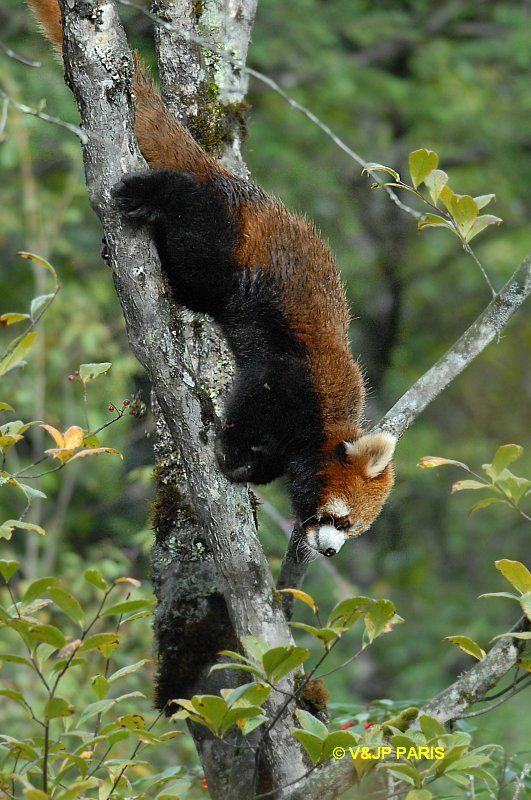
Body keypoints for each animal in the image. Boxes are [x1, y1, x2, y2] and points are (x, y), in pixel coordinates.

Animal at [28, 0, 394, 556]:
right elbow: (252, 400)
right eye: (345, 519)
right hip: (224, 240)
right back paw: (154, 193)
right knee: (192, 227)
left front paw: (254, 470)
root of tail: (229, 181)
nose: (330, 550)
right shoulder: (293, 378)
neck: (326, 427)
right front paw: (231, 454)